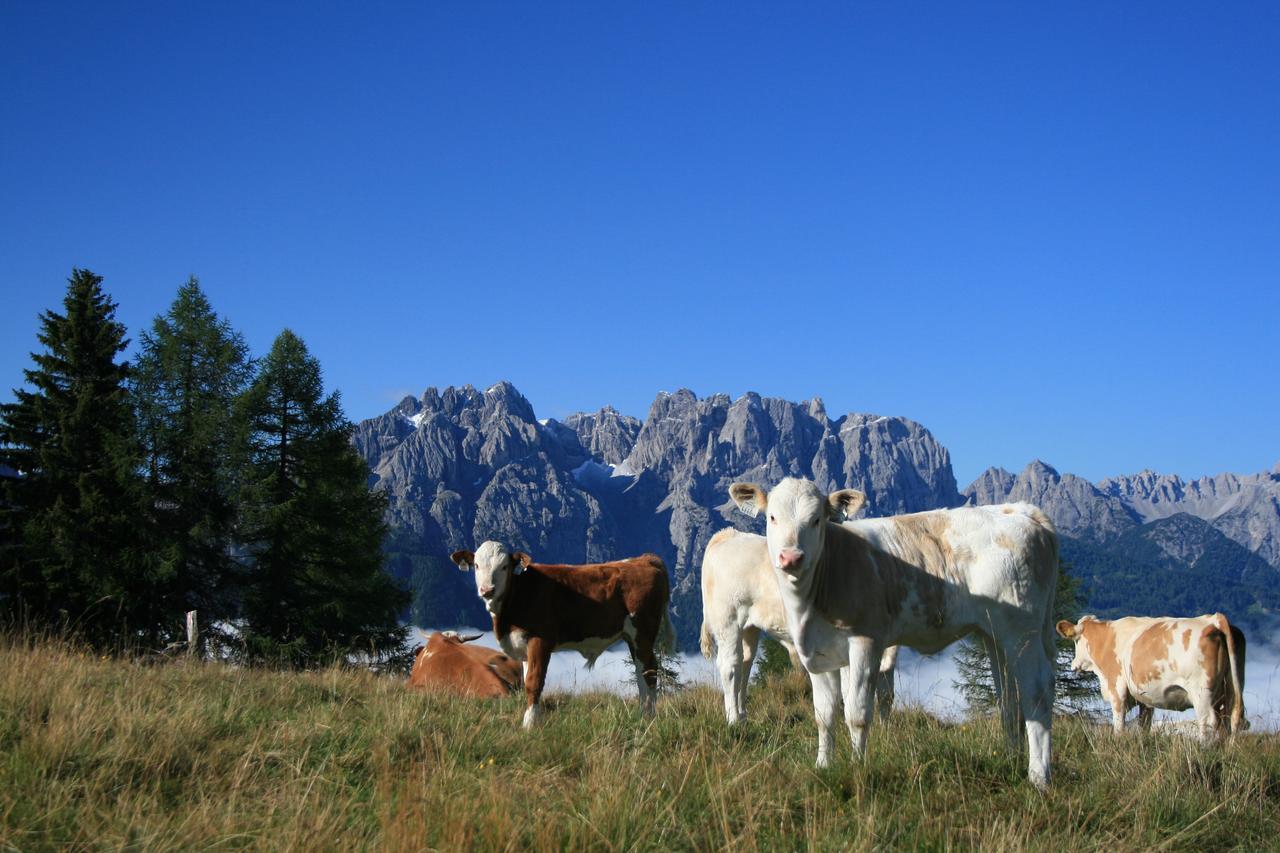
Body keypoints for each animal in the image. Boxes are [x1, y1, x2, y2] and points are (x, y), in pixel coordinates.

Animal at [450, 540, 675, 727]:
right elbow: (527, 680)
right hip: (631, 637)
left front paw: (530, 723)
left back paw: (648, 717)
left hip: (643, 633)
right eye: (476, 565)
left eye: (504, 566)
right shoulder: (523, 646)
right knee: (641, 671)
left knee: (649, 670)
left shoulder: (540, 640)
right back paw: (643, 714)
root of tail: (645, 559)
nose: (487, 590)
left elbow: (534, 681)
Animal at [701, 525, 901, 722]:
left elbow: (886, 691)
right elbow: (850, 688)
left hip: (749, 627)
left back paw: (742, 715)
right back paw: (733, 719)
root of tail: (729, 535)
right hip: (727, 620)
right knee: (730, 665)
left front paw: (884, 727)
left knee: (745, 662)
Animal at [732, 473, 1059, 788]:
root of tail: (1020, 511)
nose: (791, 557)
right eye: (772, 517)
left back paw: (1038, 777)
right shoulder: (817, 653)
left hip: (1022, 629)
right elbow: (824, 715)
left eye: (816, 519)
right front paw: (822, 765)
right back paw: (1011, 760)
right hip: (995, 634)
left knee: (1037, 691)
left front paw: (857, 767)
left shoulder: (866, 641)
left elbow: (857, 713)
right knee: (1009, 696)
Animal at [1054, 612, 1244, 737]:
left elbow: (1119, 725)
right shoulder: (1145, 699)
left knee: (1208, 722)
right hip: (1229, 690)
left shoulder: (1117, 689)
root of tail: (1214, 620)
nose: (1074, 664)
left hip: (1202, 692)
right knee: (1229, 722)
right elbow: (1144, 725)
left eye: (1076, 641)